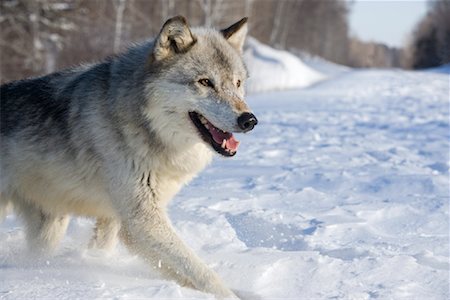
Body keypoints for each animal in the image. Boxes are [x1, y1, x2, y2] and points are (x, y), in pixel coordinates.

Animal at [0, 15, 258, 298]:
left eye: (237, 83)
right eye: (205, 82)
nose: (249, 120)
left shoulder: (115, 217)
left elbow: (102, 247)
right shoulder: (141, 221)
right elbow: (202, 273)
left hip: (52, 224)